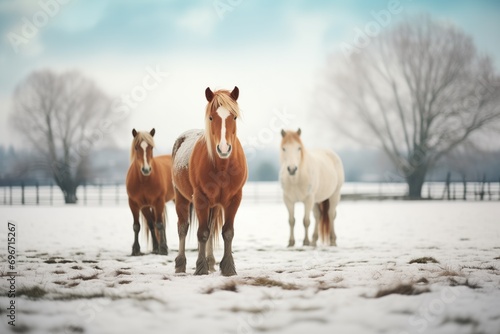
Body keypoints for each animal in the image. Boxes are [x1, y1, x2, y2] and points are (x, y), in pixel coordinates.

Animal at [126, 128, 175, 256]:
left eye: (151, 147)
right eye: (136, 147)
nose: (146, 169)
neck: (144, 181)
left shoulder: (158, 202)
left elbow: (159, 224)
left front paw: (163, 249)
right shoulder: (137, 205)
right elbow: (140, 226)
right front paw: (137, 249)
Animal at [172, 86, 248, 276]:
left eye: (234, 117)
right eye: (211, 117)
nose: (224, 148)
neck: (222, 167)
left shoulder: (234, 199)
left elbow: (227, 232)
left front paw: (228, 268)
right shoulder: (200, 199)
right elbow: (202, 233)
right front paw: (200, 268)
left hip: (214, 206)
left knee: (212, 227)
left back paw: (211, 262)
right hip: (181, 198)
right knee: (183, 228)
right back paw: (180, 264)